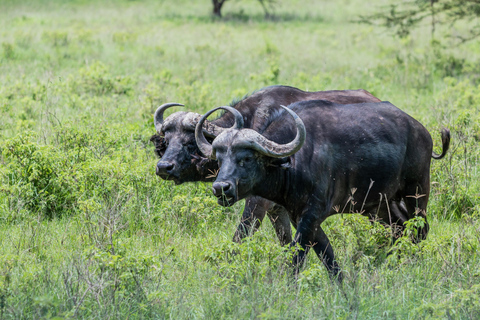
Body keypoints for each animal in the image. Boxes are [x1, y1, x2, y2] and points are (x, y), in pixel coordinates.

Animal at [152, 85, 380, 245]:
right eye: (168, 140)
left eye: (190, 142)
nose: (164, 167)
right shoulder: (278, 210)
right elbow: (286, 242)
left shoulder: (257, 204)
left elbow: (239, 238)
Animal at [195, 100, 450, 280]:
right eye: (219, 159)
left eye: (246, 158)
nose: (221, 188)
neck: (295, 162)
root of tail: (422, 132)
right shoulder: (302, 217)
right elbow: (328, 256)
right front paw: (343, 286)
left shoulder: (311, 214)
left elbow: (297, 257)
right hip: (380, 204)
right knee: (399, 229)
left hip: (417, 191)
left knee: (420, 229)